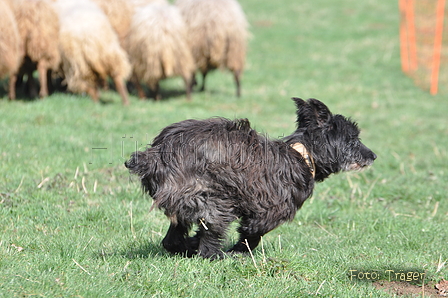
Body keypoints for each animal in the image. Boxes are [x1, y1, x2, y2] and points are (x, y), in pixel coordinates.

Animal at [124, 98, 376, 258]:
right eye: (353, 139)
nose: (373, 155)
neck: (302, 154)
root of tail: (158, 153)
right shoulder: (268, 211)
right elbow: (252, 234)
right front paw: (238, 251)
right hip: (215, 199)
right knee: (208, 241)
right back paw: (217, 255)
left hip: (185, 200)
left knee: (172, 240)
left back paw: (189, 247)